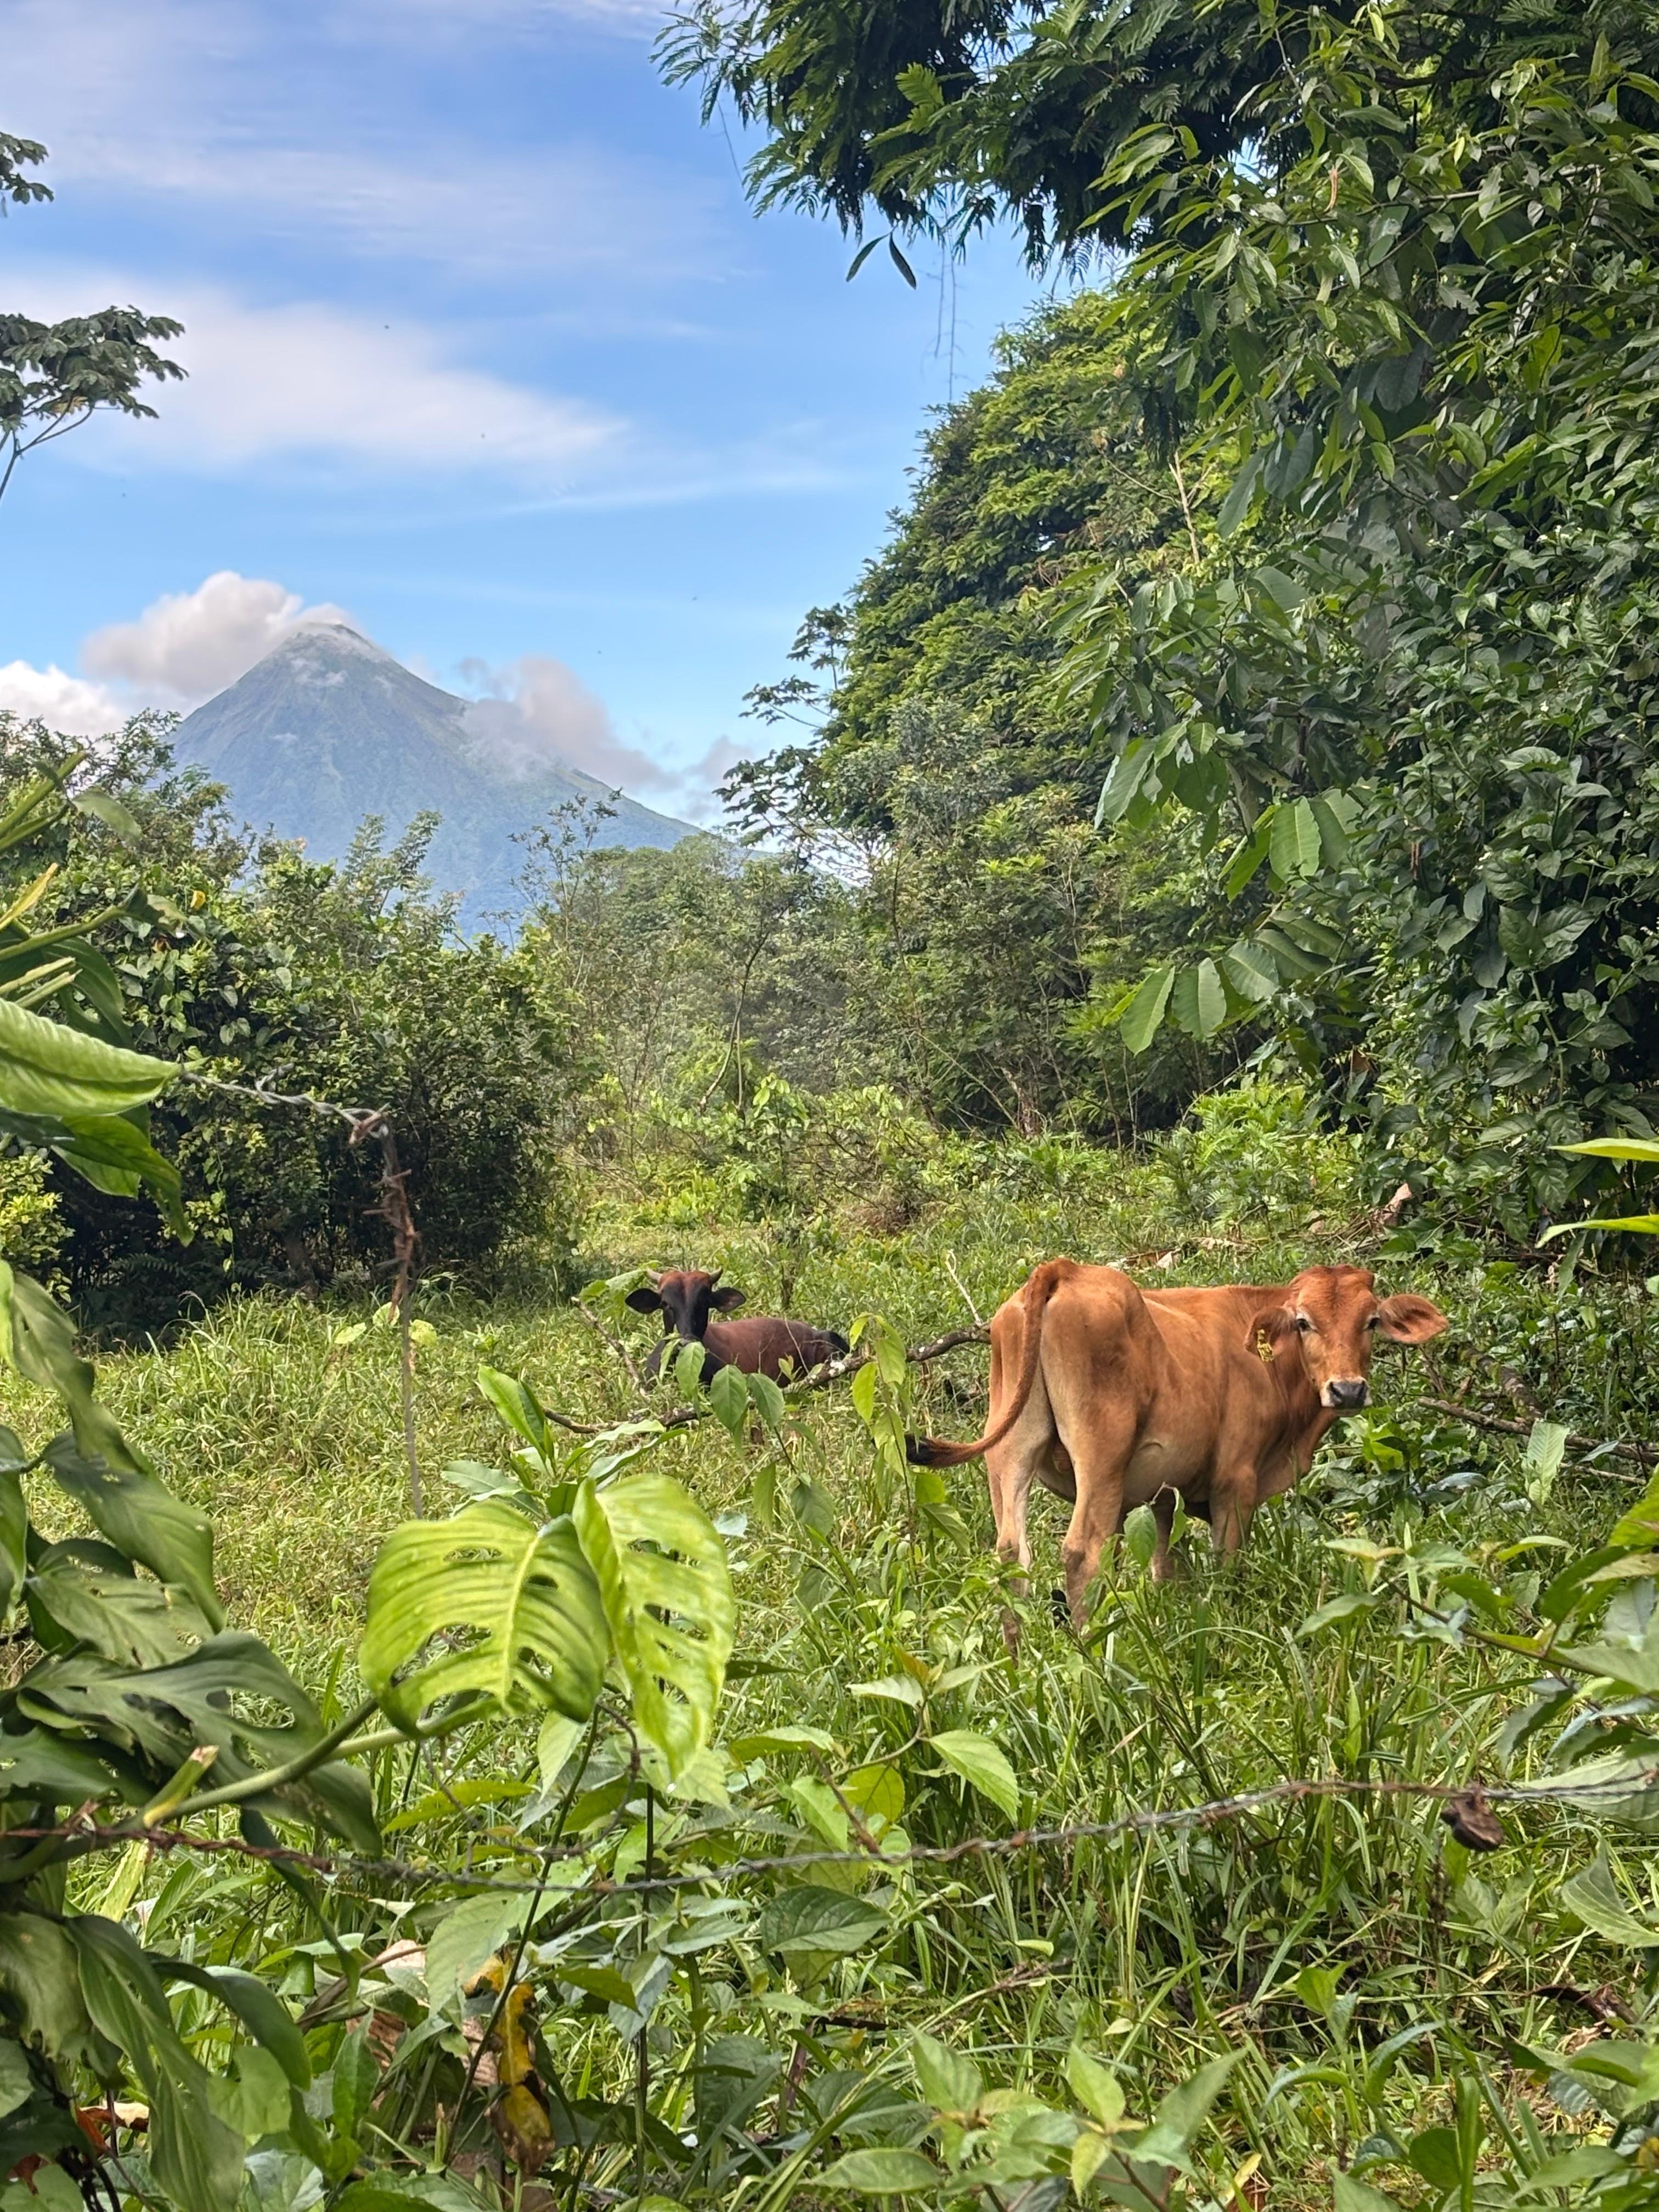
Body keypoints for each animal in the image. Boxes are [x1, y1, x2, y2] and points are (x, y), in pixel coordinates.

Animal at [906, 1260, 1446, 1634]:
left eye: (1371, 1322)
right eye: (1303, 1322)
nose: (1348, 1390)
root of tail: (1063, 1271)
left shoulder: (1165, 1495)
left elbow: (1166, 1568)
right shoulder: (1236, 1481)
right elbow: (1227, 1567)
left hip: (1009, 1451)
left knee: (1010, 1555)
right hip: (1101, 1454)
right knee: (1082, 1552)